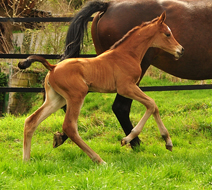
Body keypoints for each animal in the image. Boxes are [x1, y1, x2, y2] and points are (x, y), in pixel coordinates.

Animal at [18, 11, 184, 163]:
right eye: (168, 34)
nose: (180, 50)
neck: (127, 54)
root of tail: (53, 67)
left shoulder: (129, 88)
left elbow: (153, 106)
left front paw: (168, 142)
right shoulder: (126, 88)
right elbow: (151, 104)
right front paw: (127, 139)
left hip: (56, 99)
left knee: (31, 121)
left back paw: (26, 161)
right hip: (77, 96)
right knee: (69, 127)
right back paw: (99, 160)